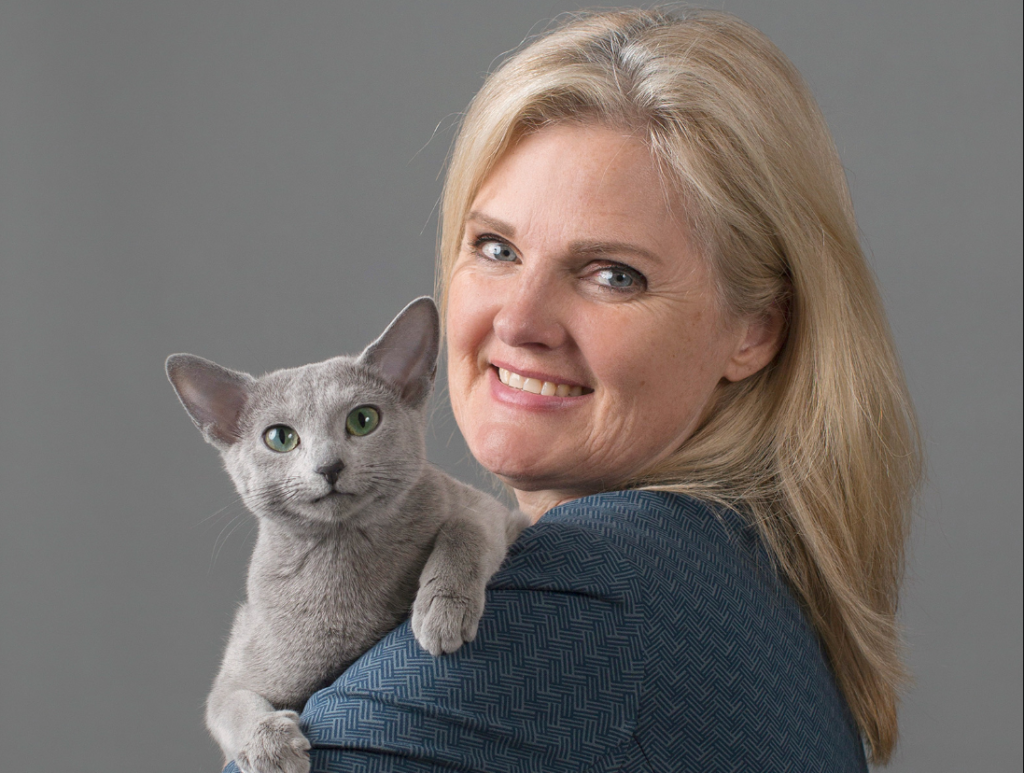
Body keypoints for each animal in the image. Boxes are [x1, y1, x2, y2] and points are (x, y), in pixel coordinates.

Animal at [165, 296, 528, 773]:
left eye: (363, 419)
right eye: (280, 438)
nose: (329, 466)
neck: (343, 556)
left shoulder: (495, 513)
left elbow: (462, 527)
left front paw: (441, 613)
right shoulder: (237, 671)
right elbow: (231, 704)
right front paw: (271, 746)